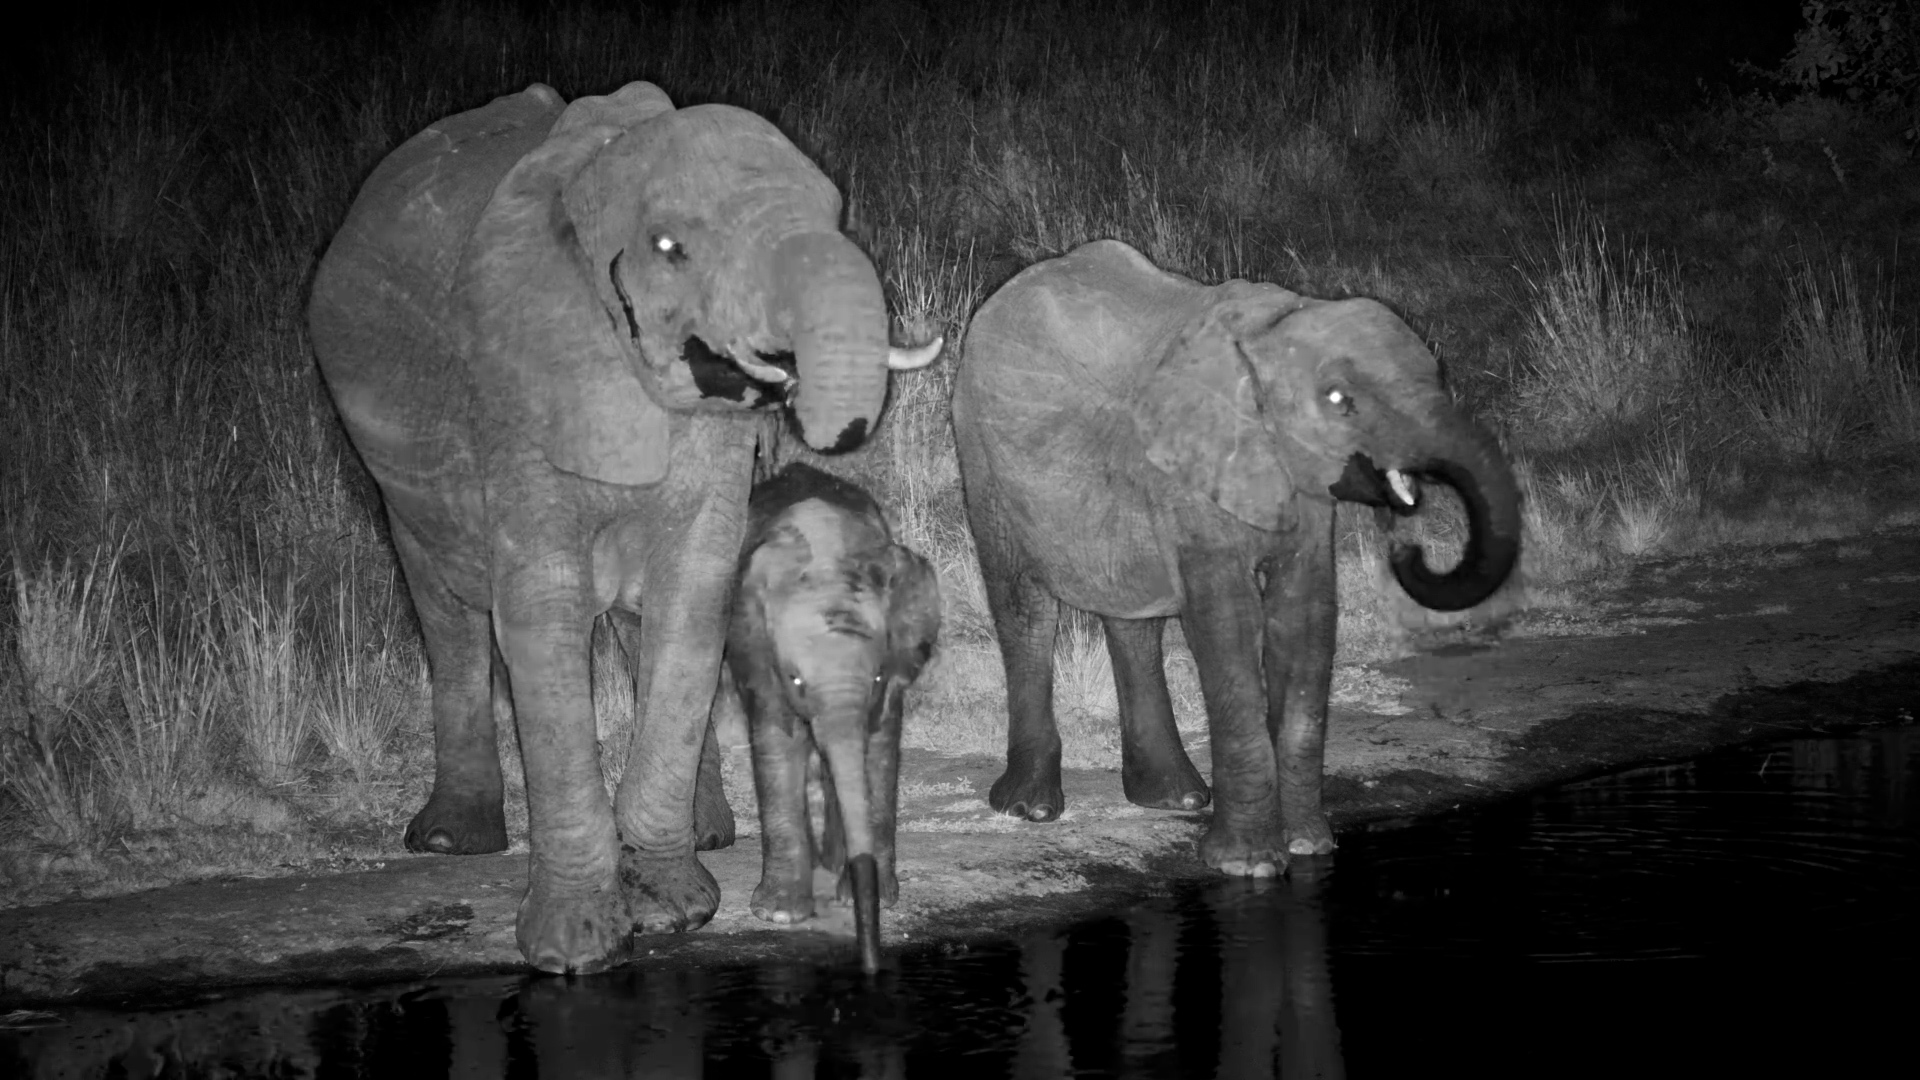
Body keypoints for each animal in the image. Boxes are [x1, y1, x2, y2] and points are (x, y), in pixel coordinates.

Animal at [723, 463, 941, 973]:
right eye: (796, 680)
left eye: (877, 676)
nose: (871, 967)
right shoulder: (756, 650)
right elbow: (778, 743)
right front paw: (780, 915)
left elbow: (878, 748)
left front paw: (877, 897)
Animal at [951, 239, 1520, 876]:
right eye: (1338, 400)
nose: (1410, 545)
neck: (1275, 330)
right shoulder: (1191, 469)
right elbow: (1227, 620)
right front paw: (1248, 867)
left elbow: (1306, 614)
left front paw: (1309, 847)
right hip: (983, 453)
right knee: (1023, 606)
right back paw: (1030, 808)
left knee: (1133, 613)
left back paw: (1173, 798)